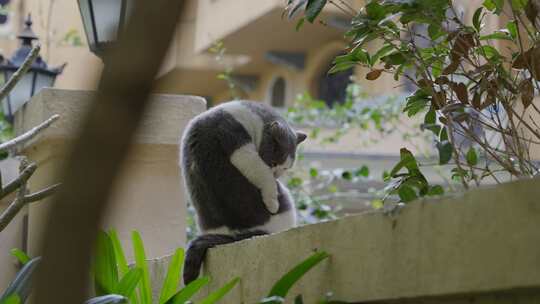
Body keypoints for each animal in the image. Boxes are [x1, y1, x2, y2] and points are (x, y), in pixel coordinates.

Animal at [180, 101, 306, 284]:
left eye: (285, 168)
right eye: (274, 163)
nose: (276, 175)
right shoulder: (234, 139)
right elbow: (260, 172)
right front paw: (272, 203)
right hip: (286, 197)